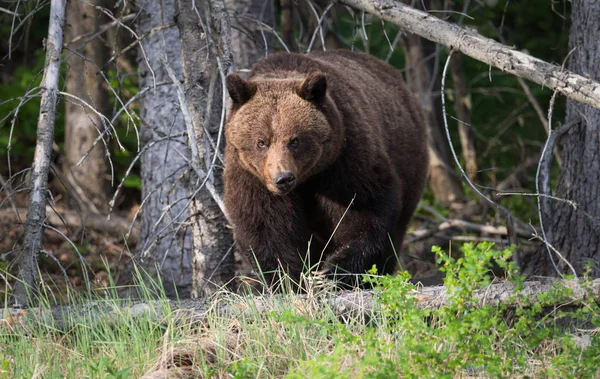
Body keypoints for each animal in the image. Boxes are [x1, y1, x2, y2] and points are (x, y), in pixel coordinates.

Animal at [224, 50, 426, 288]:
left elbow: (365, 209)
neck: (306, 181)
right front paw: (287, 277)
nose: (283, 178)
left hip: (408, 161)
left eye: (295, 140)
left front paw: (332, 271)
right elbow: (264, 225)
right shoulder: (251, 177)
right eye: (261, 141)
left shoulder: (344, 161)